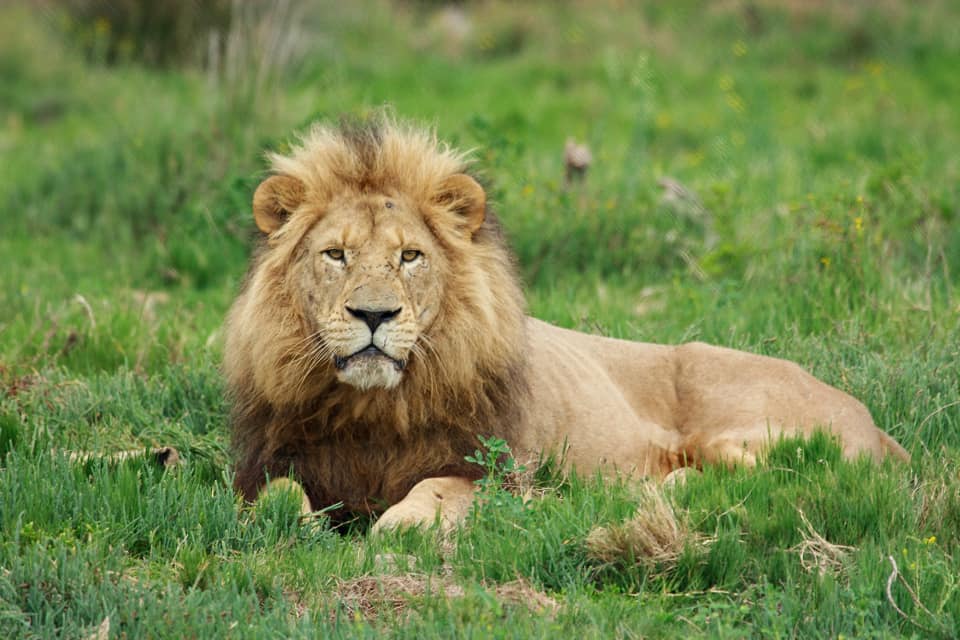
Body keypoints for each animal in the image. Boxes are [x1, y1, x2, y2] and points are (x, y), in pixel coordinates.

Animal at [223, 117, 908, 532]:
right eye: (335, 254)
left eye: (409, 257)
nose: (373, 314)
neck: (373, 411)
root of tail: (873, 421)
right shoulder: (271, 465)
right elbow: (275, 501)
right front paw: (302, 525)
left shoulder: (501, 472)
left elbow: (437, 490)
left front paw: (397, 526)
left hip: (739, 428)